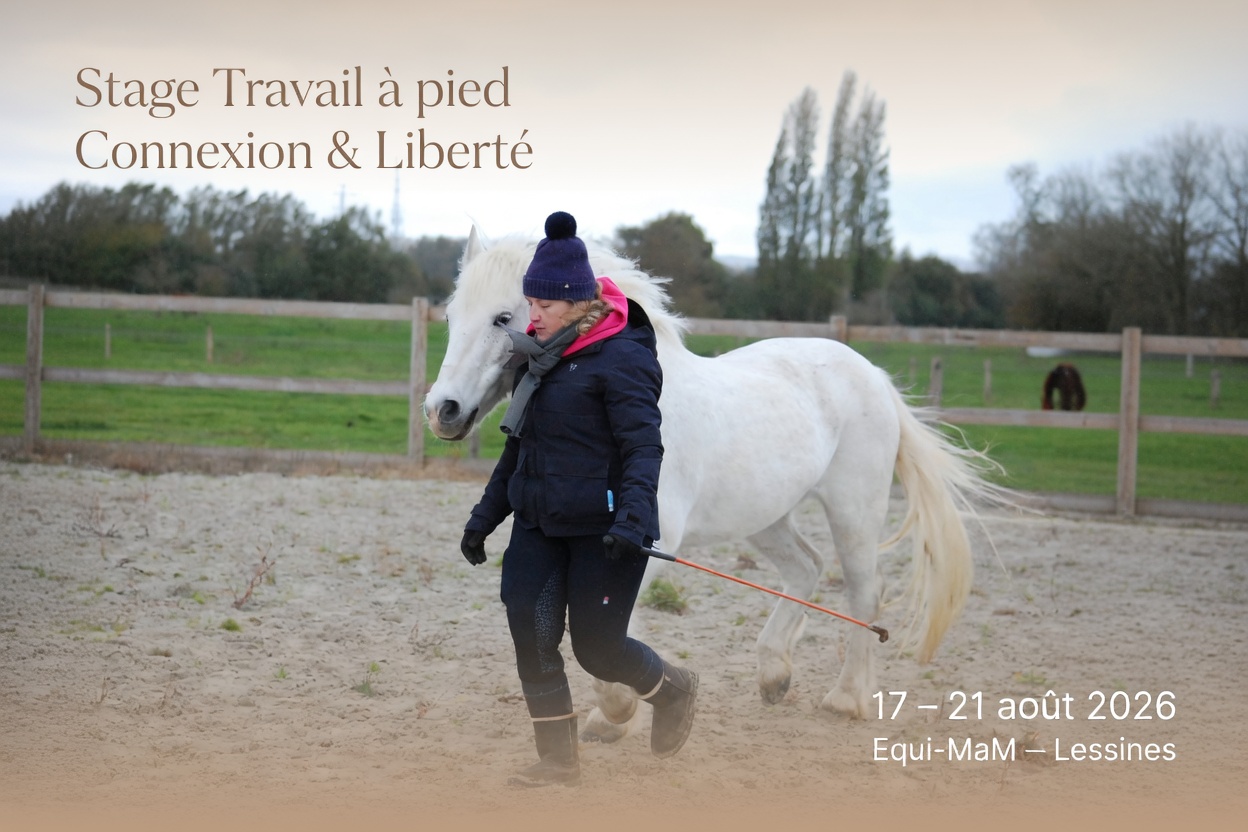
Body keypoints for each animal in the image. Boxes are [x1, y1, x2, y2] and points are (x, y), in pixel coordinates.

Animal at [424, 227, 1005, 741]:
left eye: (503, 317)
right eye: (451, 316)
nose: (441, 410)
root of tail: (874, 376)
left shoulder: (645, 545)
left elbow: (607, 636)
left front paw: (617, 712)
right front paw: (620, 715)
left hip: (854, 511)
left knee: (864, 590)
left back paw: (846, 700)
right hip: (766, 516)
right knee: (807, 567)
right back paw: (774, 674)